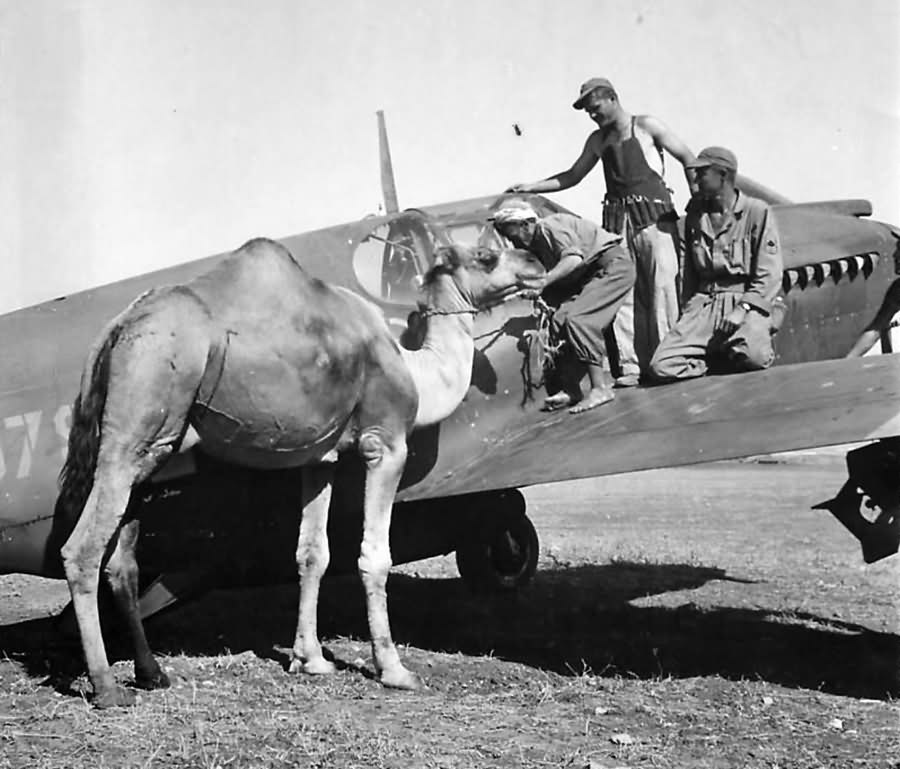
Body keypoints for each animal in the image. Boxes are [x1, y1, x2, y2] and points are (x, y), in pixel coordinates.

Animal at [57, 236, 544, 708]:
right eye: (485, 254)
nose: (535, 263)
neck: (414, 367)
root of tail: (113, 332)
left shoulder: (320, 459)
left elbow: (312, 553)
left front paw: (310, 660)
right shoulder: (384, 442)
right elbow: (374, 557)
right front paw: (394, 670)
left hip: (157, 444)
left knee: (122, 560)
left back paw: (152, 674)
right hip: (139, 409)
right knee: (81, 550)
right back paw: (106, 688)